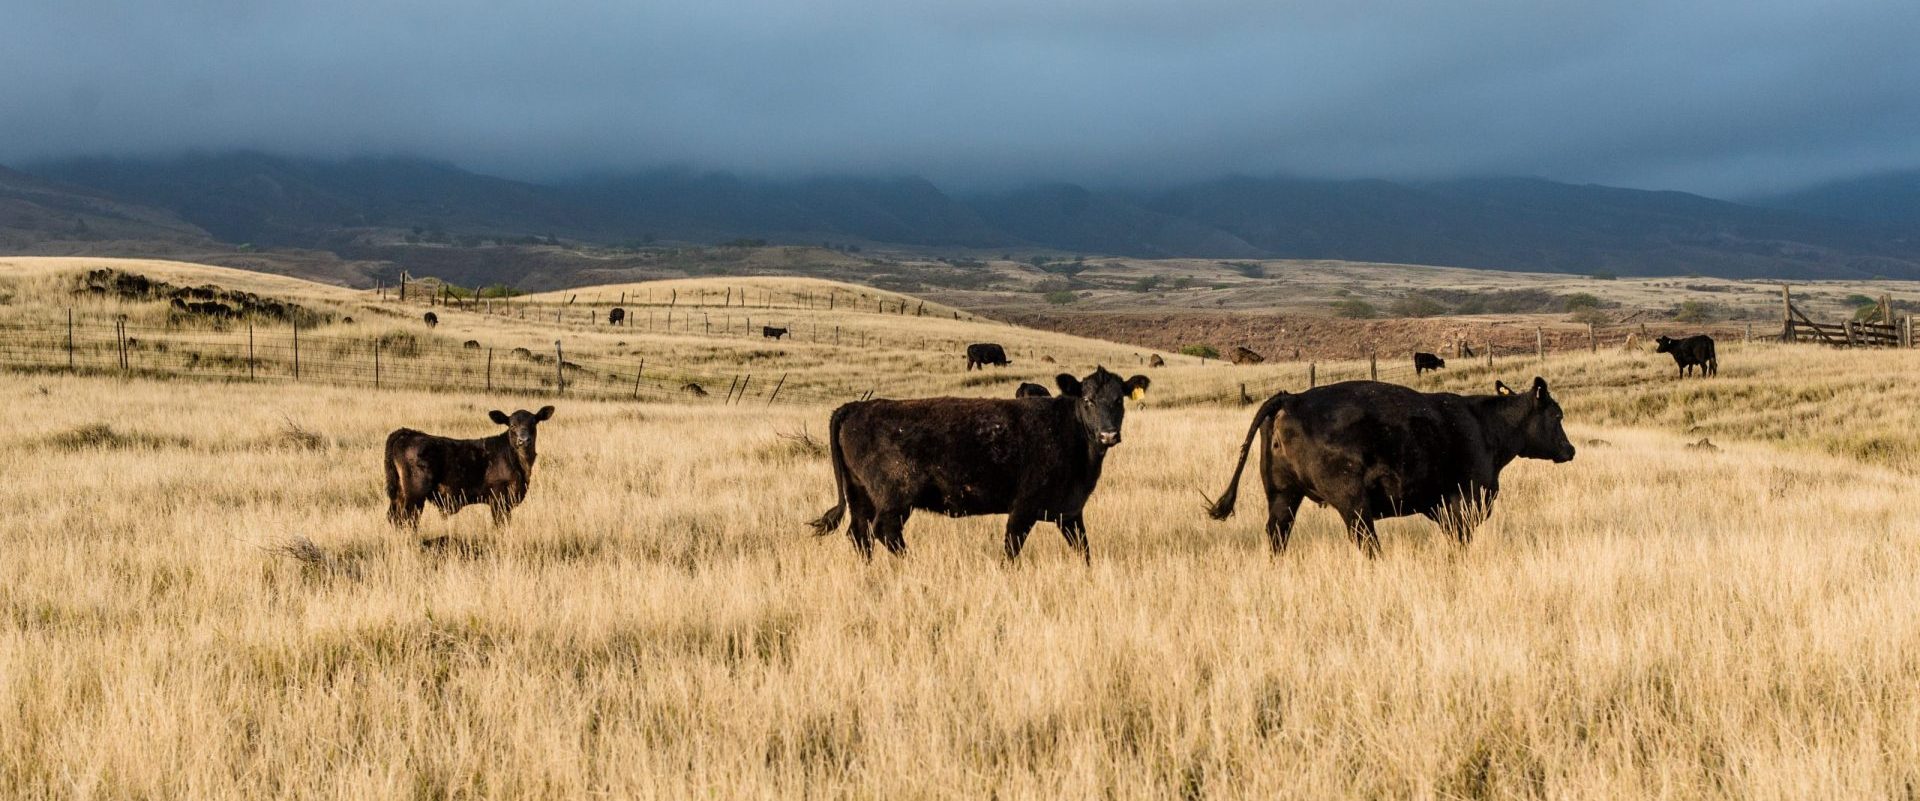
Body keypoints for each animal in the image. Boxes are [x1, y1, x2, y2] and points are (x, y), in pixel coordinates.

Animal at [378, 403, 552, 526]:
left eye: (533, 424)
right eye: (512, 425)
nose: (524, 440)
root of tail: (407, 433)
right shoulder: (498, 499)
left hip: (399, 495)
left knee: (394, 518)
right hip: (414, 496)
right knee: (407, 520)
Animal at [814, 364, 1152, 557]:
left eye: (1119, 400)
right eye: (1088, 400)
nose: (1108, 435)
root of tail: (855, 407)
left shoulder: (1069, 511)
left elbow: (1084, 551)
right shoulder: (1023, 508)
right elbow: (1010, 551)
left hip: (860, 495)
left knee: (859, 534)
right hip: (895, 497)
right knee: (885, 532)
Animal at [1213, 376, 1574, 557]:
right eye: (1557, 415)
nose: (1569, 449)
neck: (1485, 426)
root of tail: (1292, 397)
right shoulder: (1464, 504)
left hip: (1282, 494)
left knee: (1278, 534)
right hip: (1353, 503)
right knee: (1365, 541)